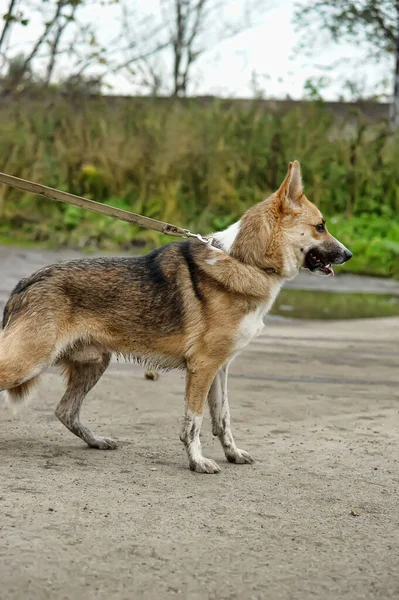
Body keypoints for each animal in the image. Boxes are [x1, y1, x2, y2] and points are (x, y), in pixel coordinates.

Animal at [0, 161, 352, 474]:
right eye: (321, 226)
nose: (348, 255)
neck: (245, 260)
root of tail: (25, 282)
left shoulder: (219, 369)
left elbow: (223, 418)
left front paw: (232, 454)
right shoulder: (202, 368)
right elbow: (193, 422)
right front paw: (197, 462)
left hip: (95, 363)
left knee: (66, 412)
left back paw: (97, 441)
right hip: (28, 362)